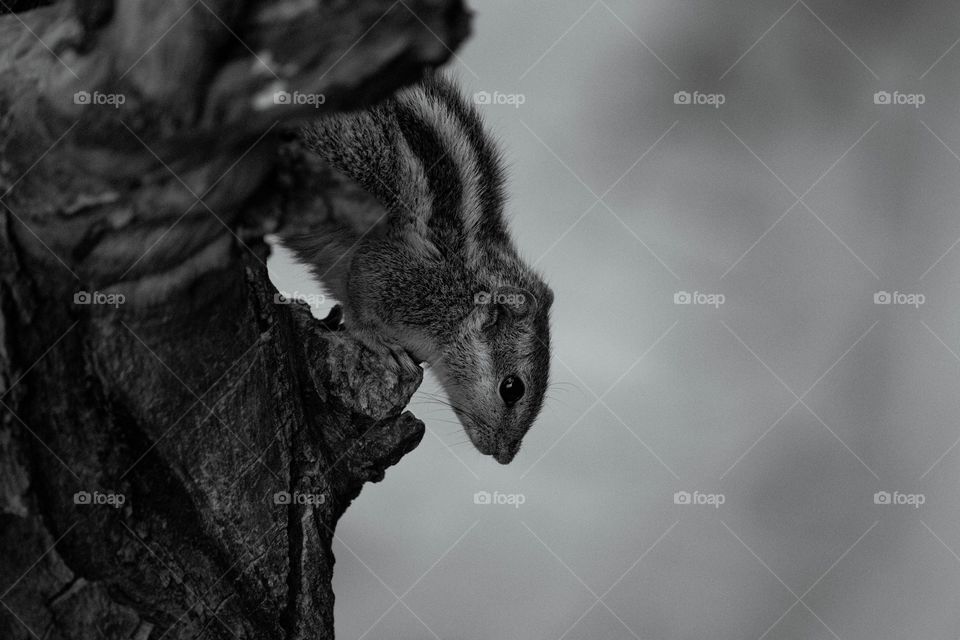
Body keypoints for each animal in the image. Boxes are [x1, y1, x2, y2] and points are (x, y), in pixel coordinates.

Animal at [283, 72, 553, 465]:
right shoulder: (388, 268)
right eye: (512, 388)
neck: (460, 288)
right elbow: (360, 308)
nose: (505, 456)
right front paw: (380, 342)